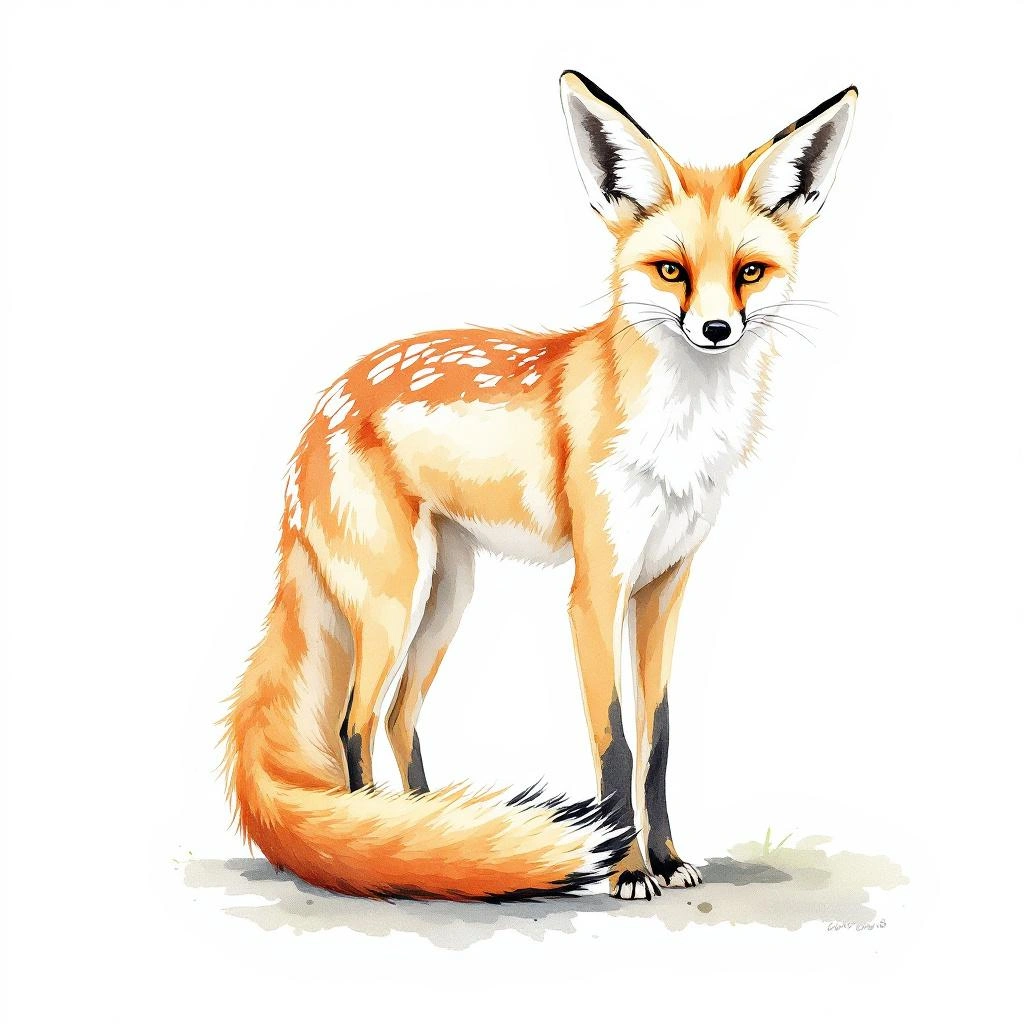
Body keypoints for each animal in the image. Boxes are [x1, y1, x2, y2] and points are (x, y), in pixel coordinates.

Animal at [222, 71, 857, 901]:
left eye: (749, 271)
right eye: (672, 270)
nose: (717, 330)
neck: (679, 440)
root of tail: (318, 413)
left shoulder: (665, 585)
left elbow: (659, 737)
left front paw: (670, 857)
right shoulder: (596, 589)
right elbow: (615, 742)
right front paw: (627, 868)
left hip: (446, 597)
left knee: (398, 717)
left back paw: (430, 836)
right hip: (395, 600)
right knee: (354, 726)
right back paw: (377, 849)